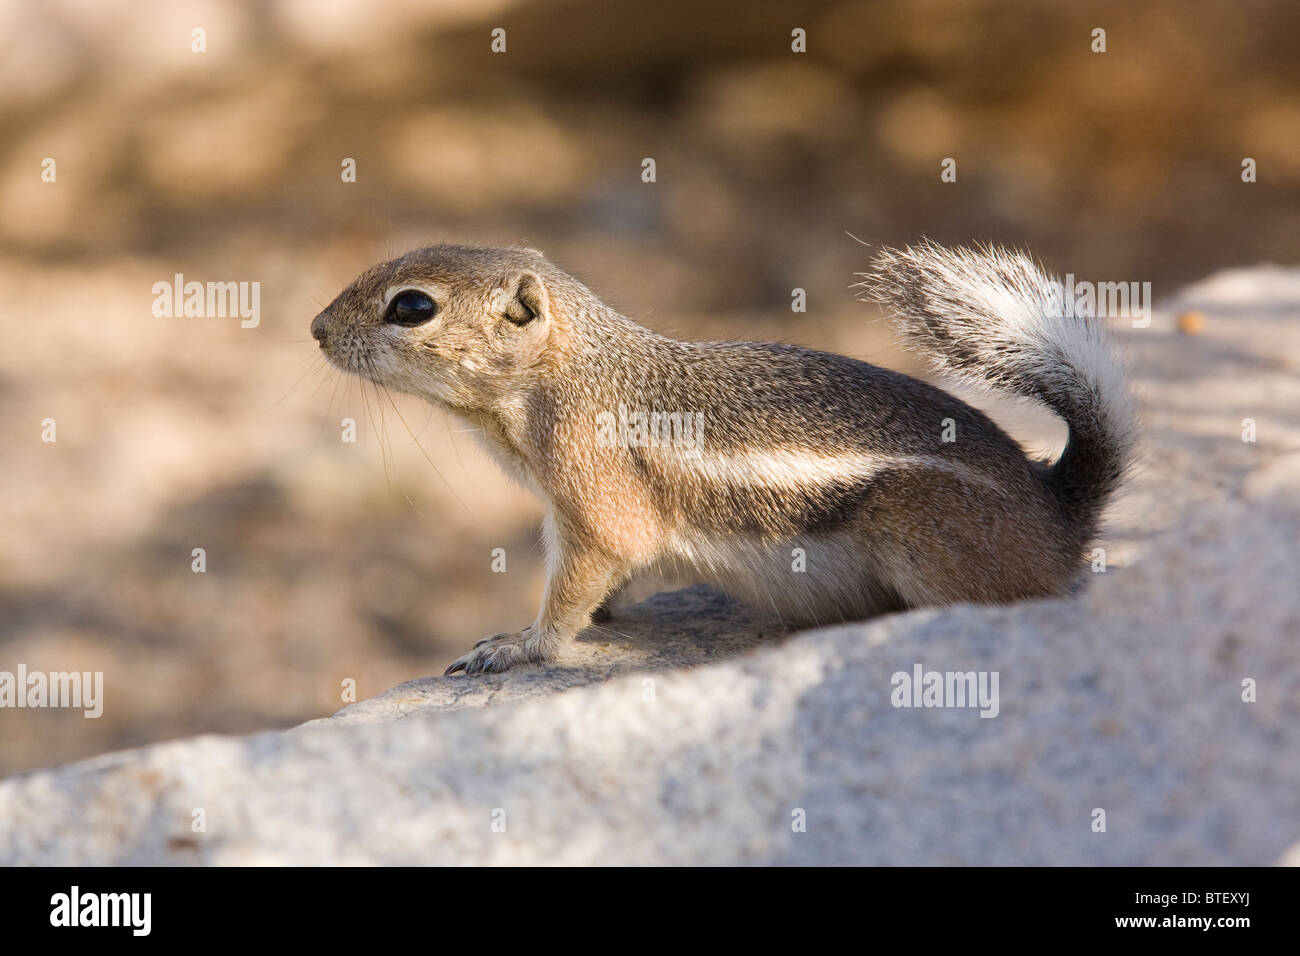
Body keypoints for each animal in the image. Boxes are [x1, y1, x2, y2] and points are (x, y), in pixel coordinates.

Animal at [309, 239, 1133, 671]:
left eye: (412, 306)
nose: (315, 328)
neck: (570, 373)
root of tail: (1059, 513)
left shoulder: (593, 498)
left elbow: (579, 582)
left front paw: (519, 646)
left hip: (926, 532)